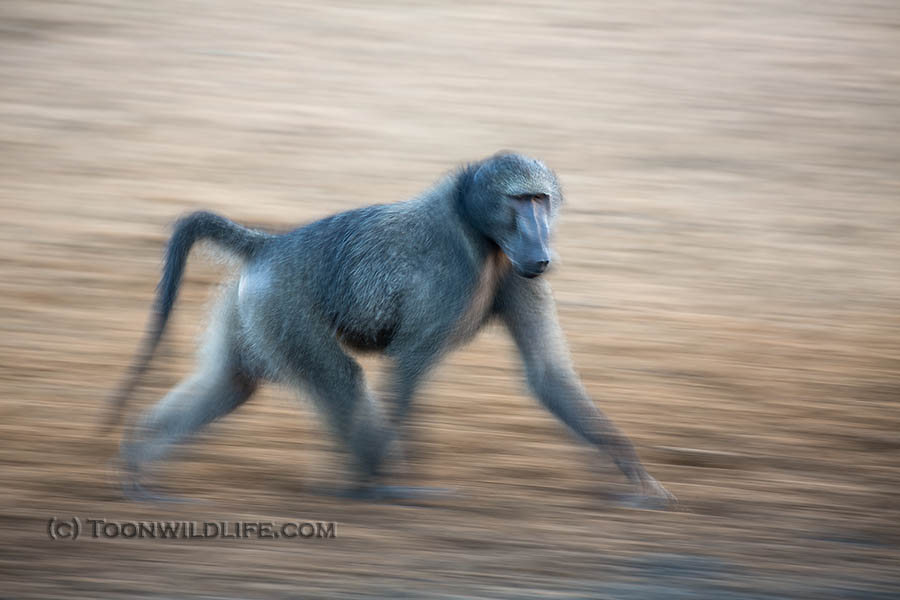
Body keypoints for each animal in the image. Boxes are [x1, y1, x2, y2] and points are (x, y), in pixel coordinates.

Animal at [105, 152, 675, 507]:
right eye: (520, 201)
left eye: (542, 200)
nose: (541, 251)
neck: (474, 226)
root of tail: (270, 245)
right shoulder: (449, 276)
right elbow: (409, 363)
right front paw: (400, 487)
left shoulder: (516, 274)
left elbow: (546, 373)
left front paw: (637, 477)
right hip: (283, 305)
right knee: (341, 380)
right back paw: (363, 480)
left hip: (251, 310)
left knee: (232, 383)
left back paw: (139, 463)